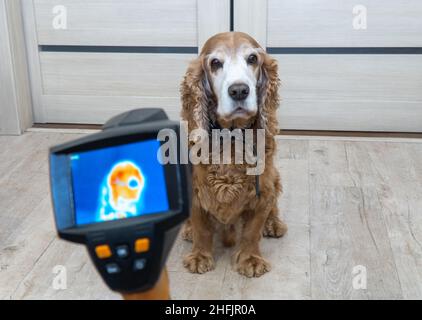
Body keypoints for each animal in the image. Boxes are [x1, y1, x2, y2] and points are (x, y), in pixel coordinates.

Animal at [178, 32, 286, 278]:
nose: (239, 90)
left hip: (275, 178)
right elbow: (201, 227)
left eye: (253, 58)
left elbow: (252, 231)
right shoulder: (196, 188)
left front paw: (251, 259)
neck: (232, 137)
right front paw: (200, 256)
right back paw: (187, 229)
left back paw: (274, 223)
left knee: (274, 206)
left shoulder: (262, 191)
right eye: (215, 63)